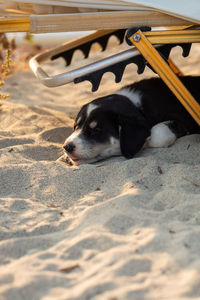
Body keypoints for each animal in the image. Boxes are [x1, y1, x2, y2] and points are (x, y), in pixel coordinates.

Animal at [63, 75, 200, 164]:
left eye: (96, 130)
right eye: (76, 127)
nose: (67, 147)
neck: (138, 106)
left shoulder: (182, 119)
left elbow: (157, 134)